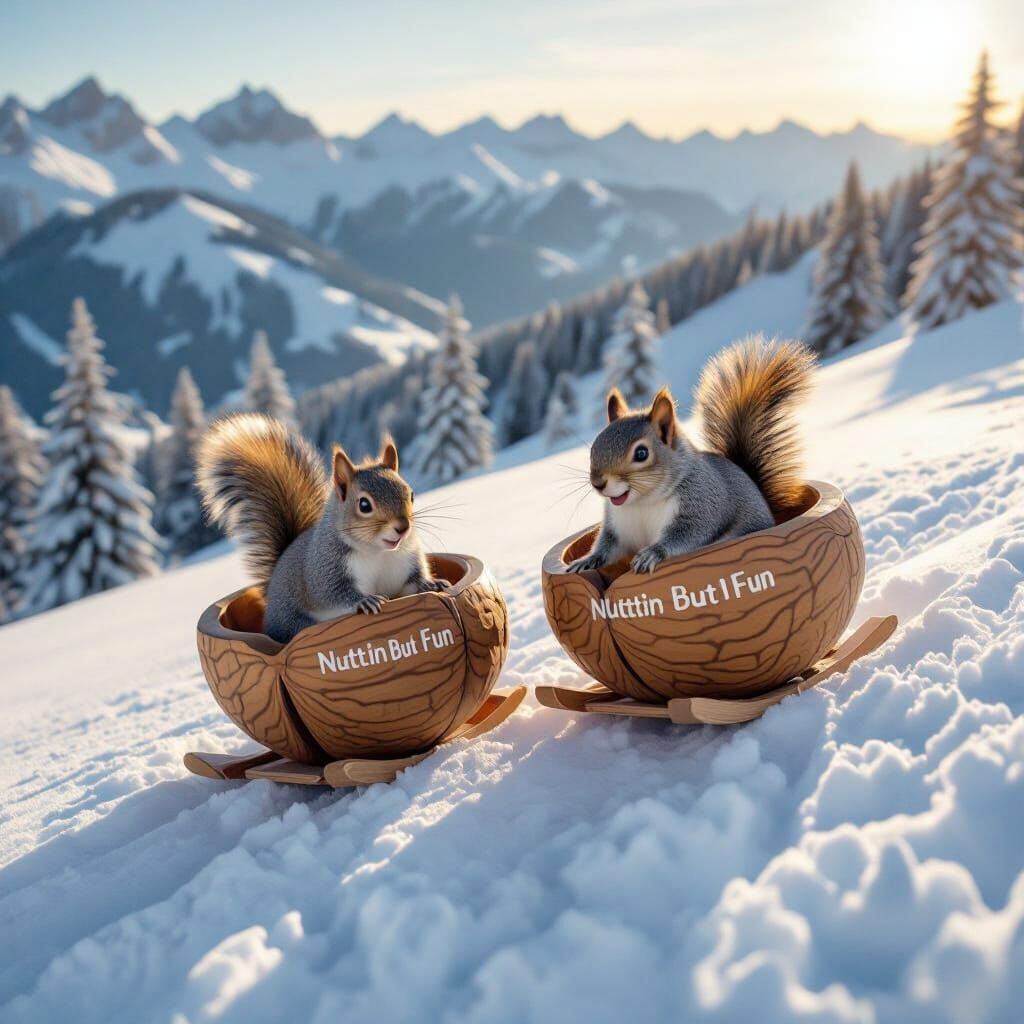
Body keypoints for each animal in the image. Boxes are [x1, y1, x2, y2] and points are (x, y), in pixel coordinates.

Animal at [196, 413, 447, 643]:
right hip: (293, 622)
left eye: (411, 494)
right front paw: (365, 600)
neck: (377, 552)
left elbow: (411, 583)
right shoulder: (325, 569)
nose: (403, 528)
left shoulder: (406, 561)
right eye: (364, 505)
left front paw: (431, 583)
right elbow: (332, 593)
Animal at [569, 335, 815, 575]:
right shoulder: (617, 526)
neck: (642, 503)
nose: (598, 483)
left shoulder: (702, 504)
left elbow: (689, 533)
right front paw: (587, 560)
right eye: (593, 449)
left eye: (641, 453)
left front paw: (652, 553)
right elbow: (608, 545)